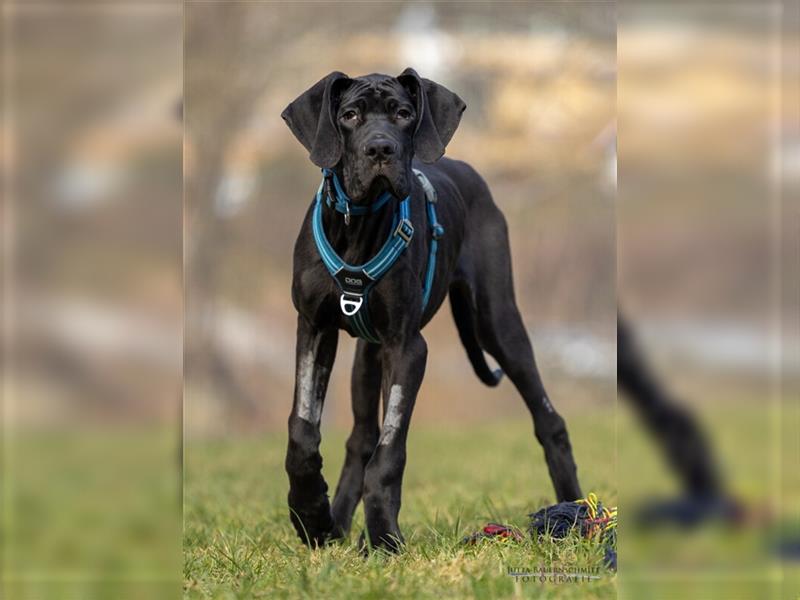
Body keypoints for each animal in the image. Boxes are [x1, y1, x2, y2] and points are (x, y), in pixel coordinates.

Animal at [282, 68, 580, 552]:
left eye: (404, 114)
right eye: (349, 115)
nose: (380, 149)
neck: (358, 225)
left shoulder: (407, 348)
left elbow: (390, 452)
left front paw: (384, 536)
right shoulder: (314, 327)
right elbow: (303, 431)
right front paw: (312, 515)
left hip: (497, 321)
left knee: (549, 419)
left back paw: (575, 510)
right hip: (367, 357)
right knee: (360, 439)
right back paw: (338, 523)